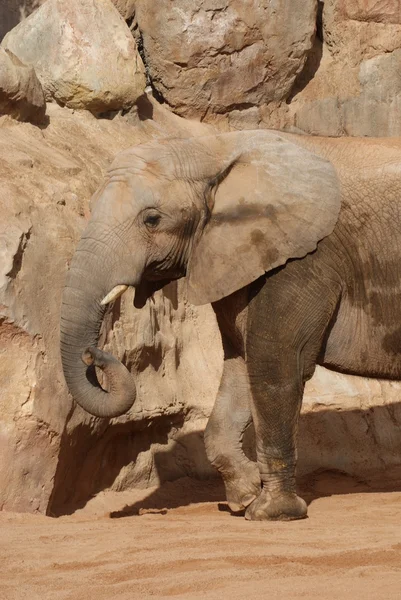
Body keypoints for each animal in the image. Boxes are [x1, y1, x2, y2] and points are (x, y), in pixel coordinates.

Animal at [59, 130, 401, 520]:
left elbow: (274, 361)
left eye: (152, 219)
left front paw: (271, 513)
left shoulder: (305, 258)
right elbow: (241, 361)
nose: (93, 353)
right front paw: (246, 496)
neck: (214, 148)